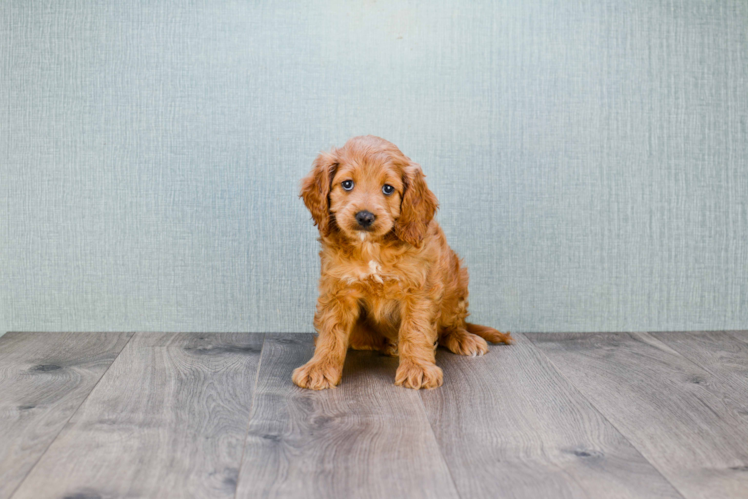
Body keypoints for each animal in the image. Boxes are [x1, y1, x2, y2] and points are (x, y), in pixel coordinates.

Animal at [296, 137, 512, 390]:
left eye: (388, 188)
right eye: (347, 184)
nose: (365, 217)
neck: (371, 247)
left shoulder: (419, 289)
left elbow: (415, 329)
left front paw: (417, 368)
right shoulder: (338, 289)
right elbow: (331, 332)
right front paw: (319, 368)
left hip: (456, 283)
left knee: (453, 325)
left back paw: (463, 338)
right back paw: (389, 345)